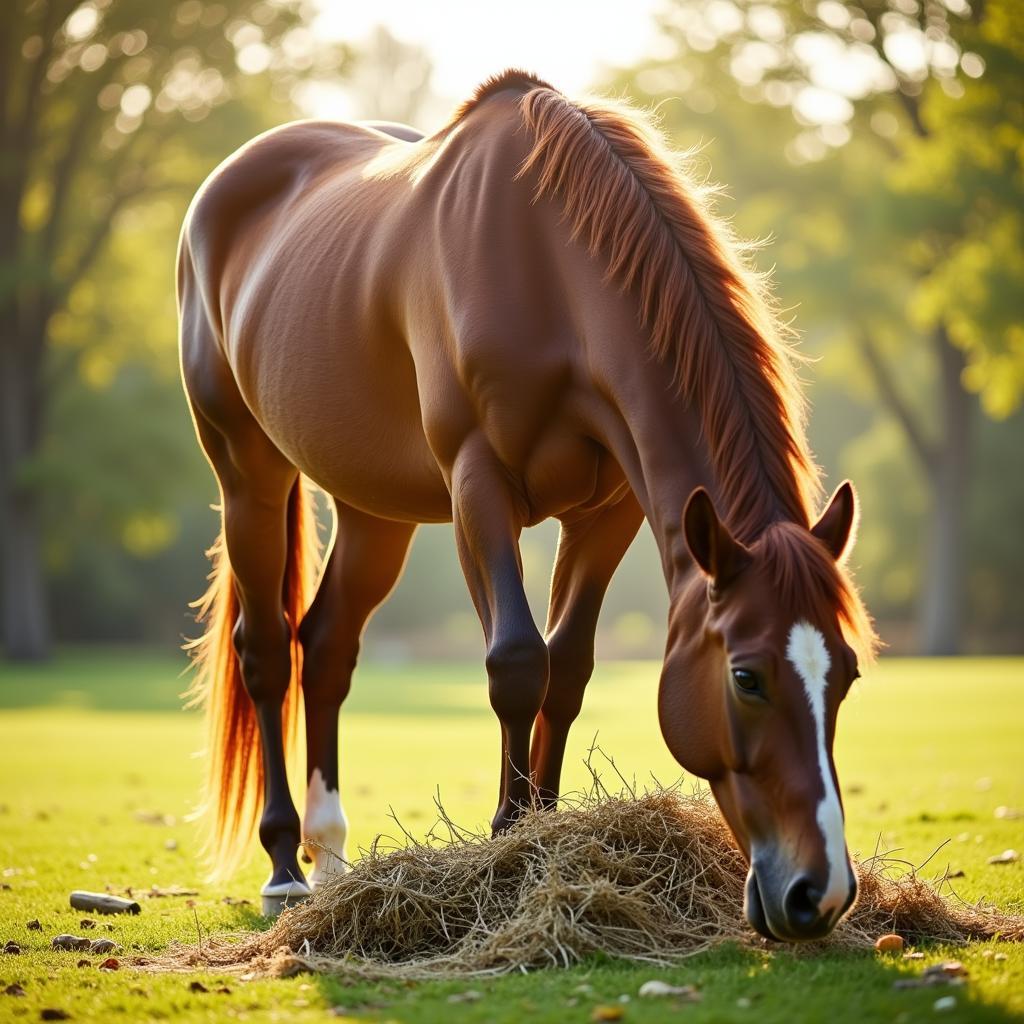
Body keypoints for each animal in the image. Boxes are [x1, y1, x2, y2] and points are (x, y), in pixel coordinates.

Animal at [176, 68, 872, 937]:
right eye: (746, 677)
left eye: (846, 672)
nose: (820, 893)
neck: (549, 271)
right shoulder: (480, 484)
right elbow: (516, 661)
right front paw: (511, 846)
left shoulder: (611, 512)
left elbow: (566, 668)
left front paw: (544, 829)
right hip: (248, 472)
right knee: (268, 650)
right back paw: (284, 870)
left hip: (378, 511)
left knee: (327, 645)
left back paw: (332, 859)